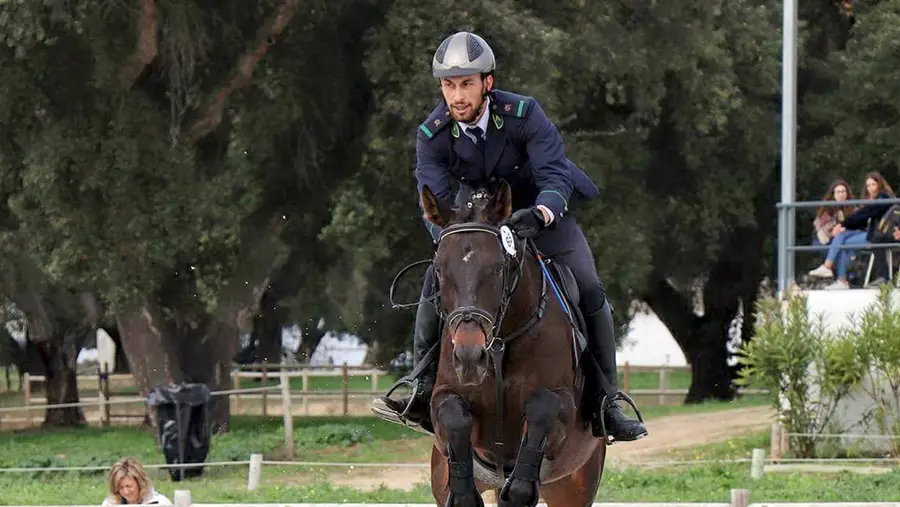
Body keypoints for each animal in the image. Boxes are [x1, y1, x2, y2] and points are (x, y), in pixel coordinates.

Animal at [420, 182, 604, 507]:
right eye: (439, 269)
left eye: (498, 268)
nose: (470, 358)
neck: (499, 347)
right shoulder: (444, 399)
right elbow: (454, 417)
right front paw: (464, 494)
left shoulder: (563, 408)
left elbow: (543, 407)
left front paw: (519, 489)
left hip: (574, 484)